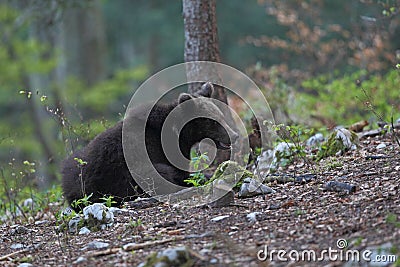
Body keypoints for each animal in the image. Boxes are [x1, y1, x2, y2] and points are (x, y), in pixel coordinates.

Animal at [61, 83, 238, 207]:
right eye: (211, 121)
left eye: (221, 115)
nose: (234, 135)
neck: (178, 133)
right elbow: (182, 173)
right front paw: (207, 175)